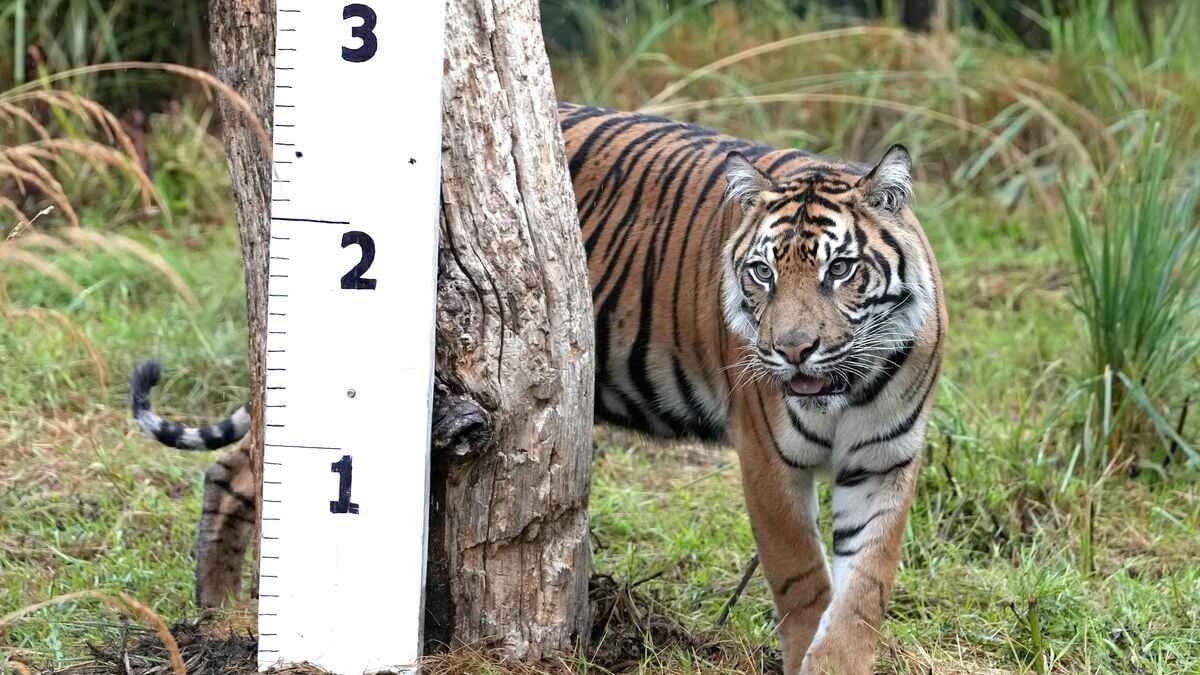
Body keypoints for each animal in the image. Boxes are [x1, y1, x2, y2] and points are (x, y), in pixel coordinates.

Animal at [131, 102, 945, 675]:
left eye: (841, 270)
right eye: (762, 273)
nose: (791, 348)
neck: (848, 388)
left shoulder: (886, 460)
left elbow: (865, 584)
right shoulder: (769, 461)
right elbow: (803, 579)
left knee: (235, 466)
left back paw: (217, 608)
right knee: (251, 463)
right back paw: (221, 612)